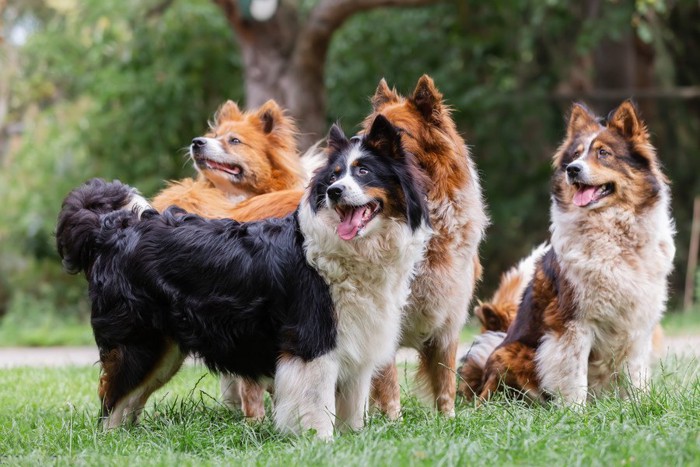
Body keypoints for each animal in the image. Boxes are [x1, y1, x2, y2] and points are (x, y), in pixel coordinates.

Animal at [54, 115, 430, 440]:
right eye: (335, 176)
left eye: (364, 171)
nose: (334, 192)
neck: (356, 250)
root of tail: (113, 229)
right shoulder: (312, 342)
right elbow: (317, 406)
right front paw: (321, 444)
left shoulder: (356, 344)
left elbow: (352, 409)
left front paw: (352, 442)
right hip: (138, 344)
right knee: (111, 401)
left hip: (164, 351)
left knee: (127, 401)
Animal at [456, 100, 676, 404]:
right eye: (575, 155)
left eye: (603, 153)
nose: (573, 169)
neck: (613, 233)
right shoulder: (572, 322)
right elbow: (574, 375)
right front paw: (576, 411)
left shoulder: (638, 323)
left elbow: (635, 374)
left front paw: (638, 406)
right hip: (513, 354)